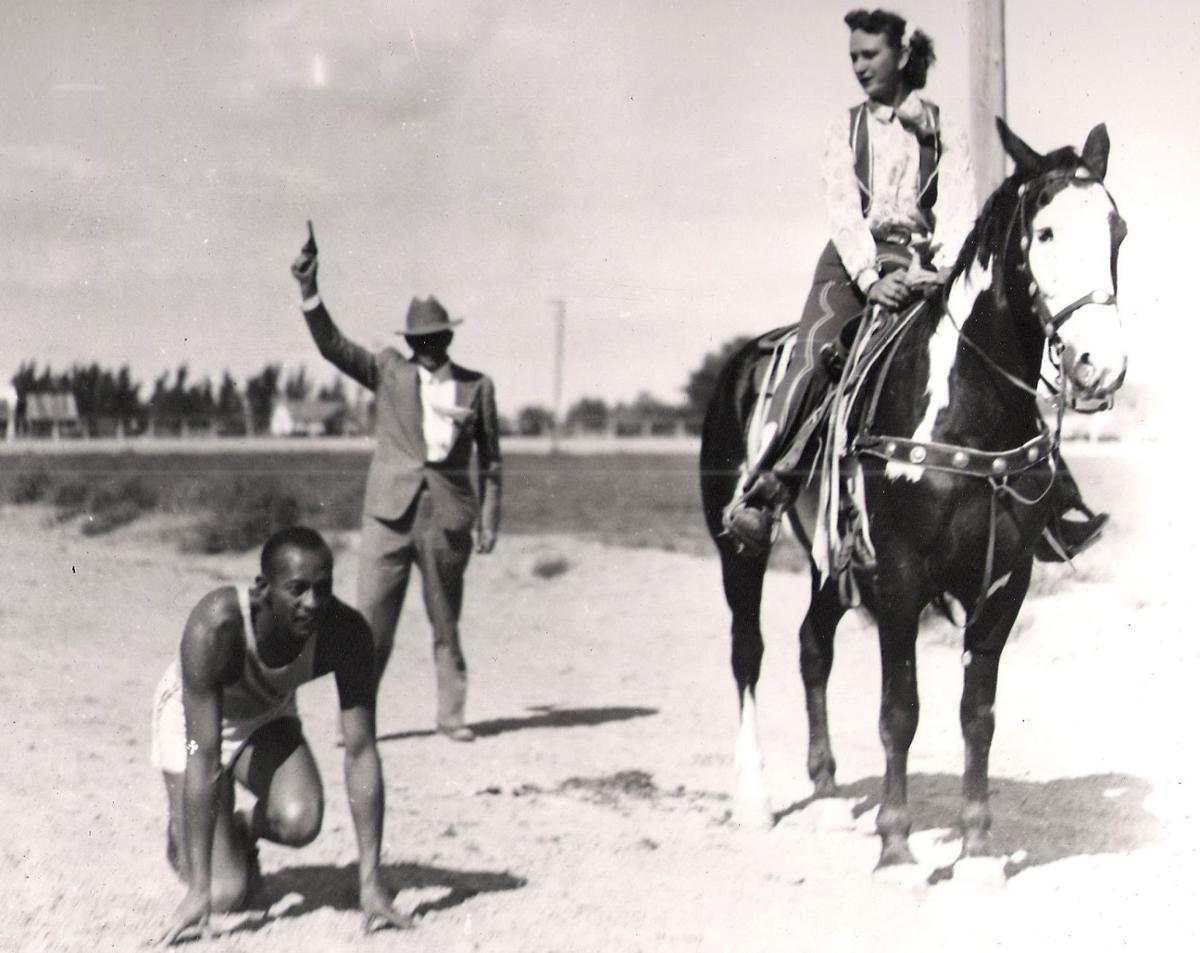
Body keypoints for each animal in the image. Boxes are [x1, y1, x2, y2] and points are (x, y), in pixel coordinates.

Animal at [698, 119, 1127, 869]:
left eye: (1118, 231)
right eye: (1044, 232)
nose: (1100, 365)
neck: (966, 412)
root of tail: (741, 364)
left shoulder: (1003, 582)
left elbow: (978, 714)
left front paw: (978, 849)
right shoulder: (898, 576)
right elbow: (901, 711)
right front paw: (897, 847)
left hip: (832, 563)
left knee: (812, 644)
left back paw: (828, 794)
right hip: (738, 549)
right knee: (748, 650)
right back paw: (754, 797)